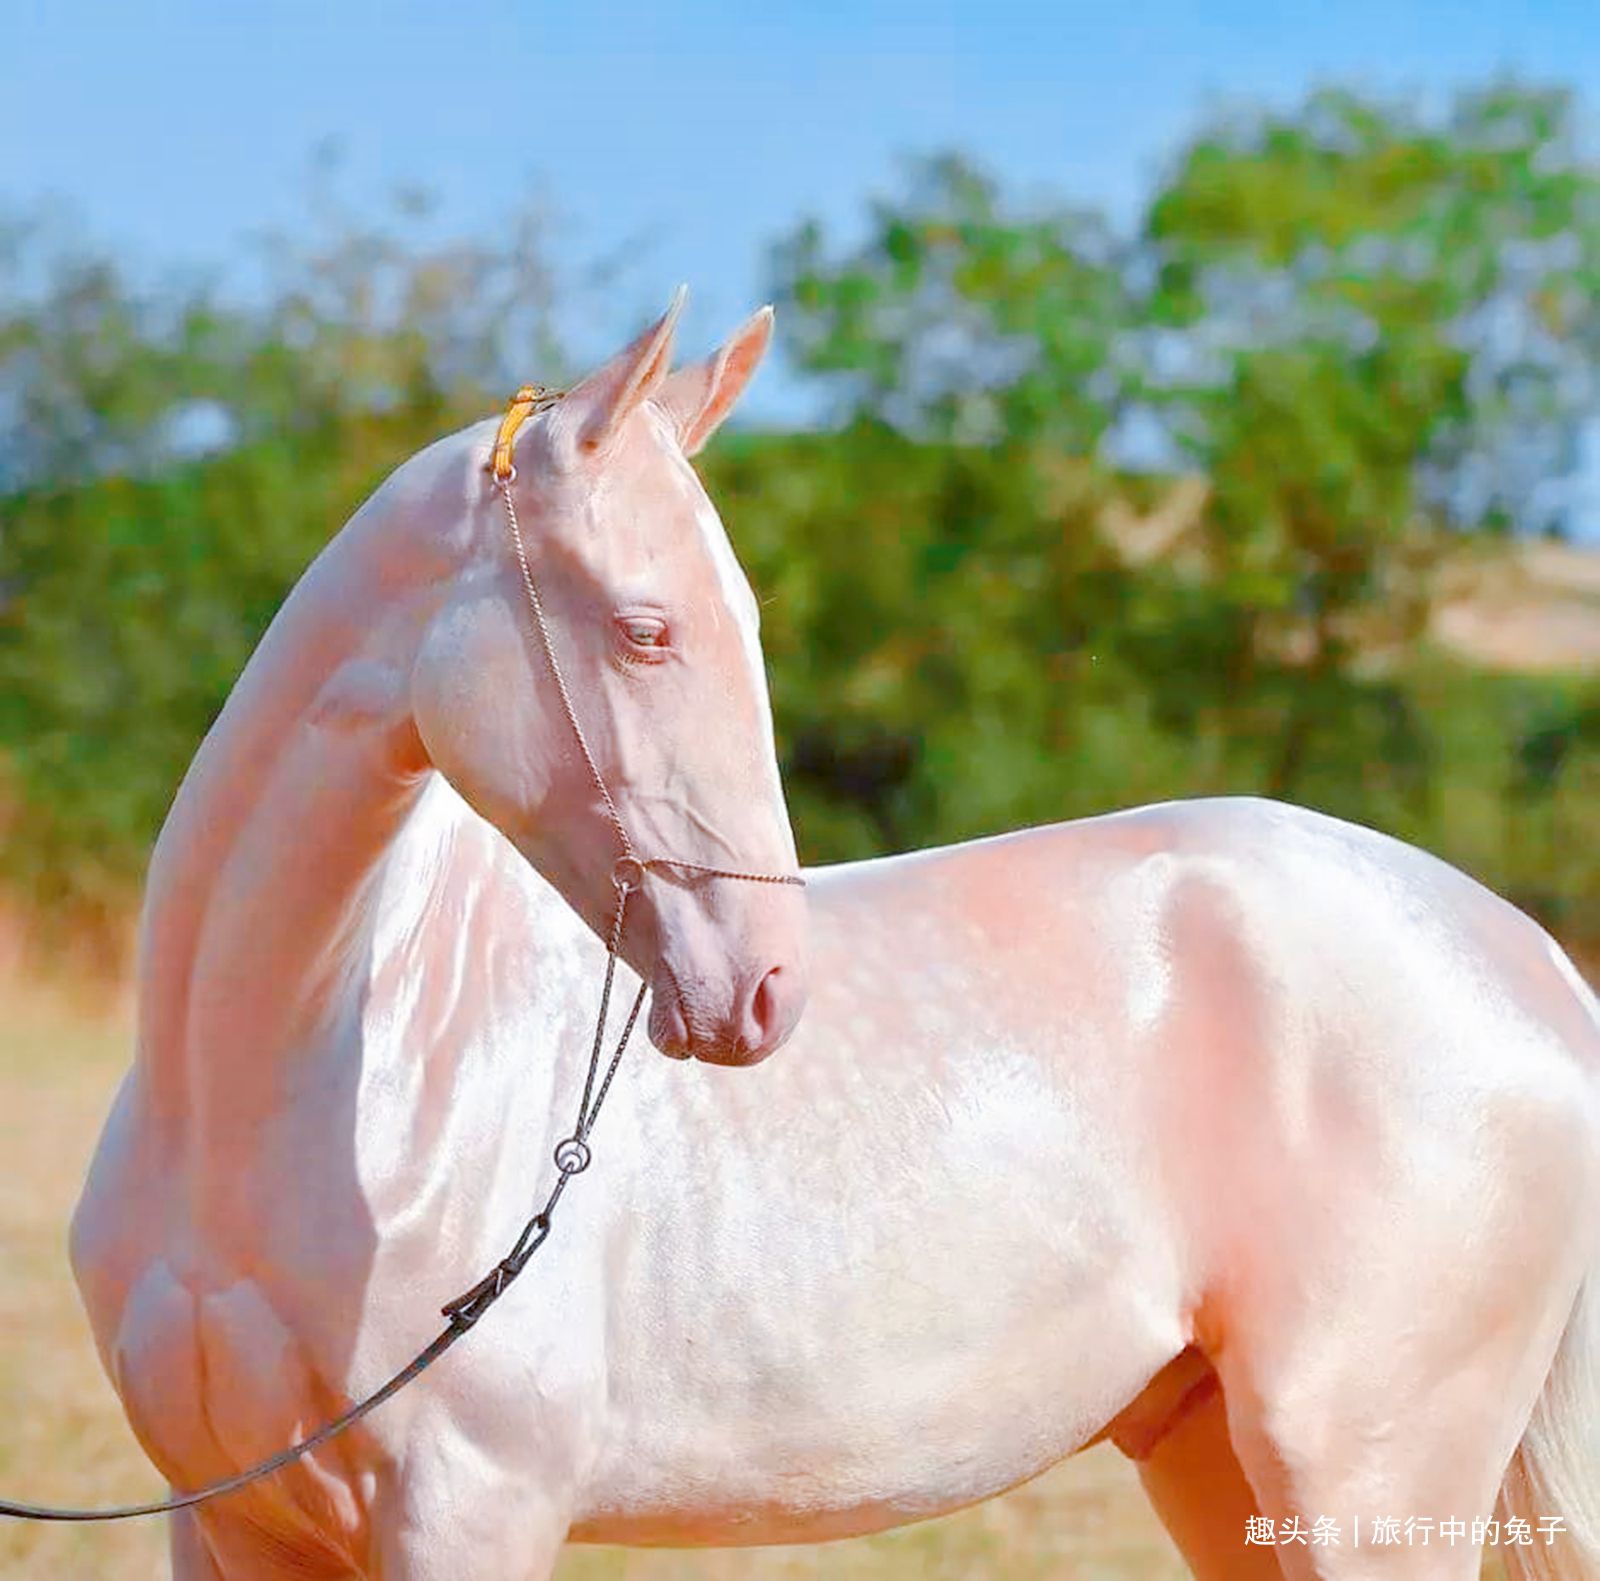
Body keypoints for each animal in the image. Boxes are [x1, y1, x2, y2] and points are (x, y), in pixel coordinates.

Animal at [68, 289, 1593, 1574]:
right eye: (646, 629)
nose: (765, 991)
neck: (302, 1091)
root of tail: (1531, 966)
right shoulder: (228, 1523)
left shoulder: (468, 1514)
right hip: (1219, 1466)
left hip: (1361, 1480)